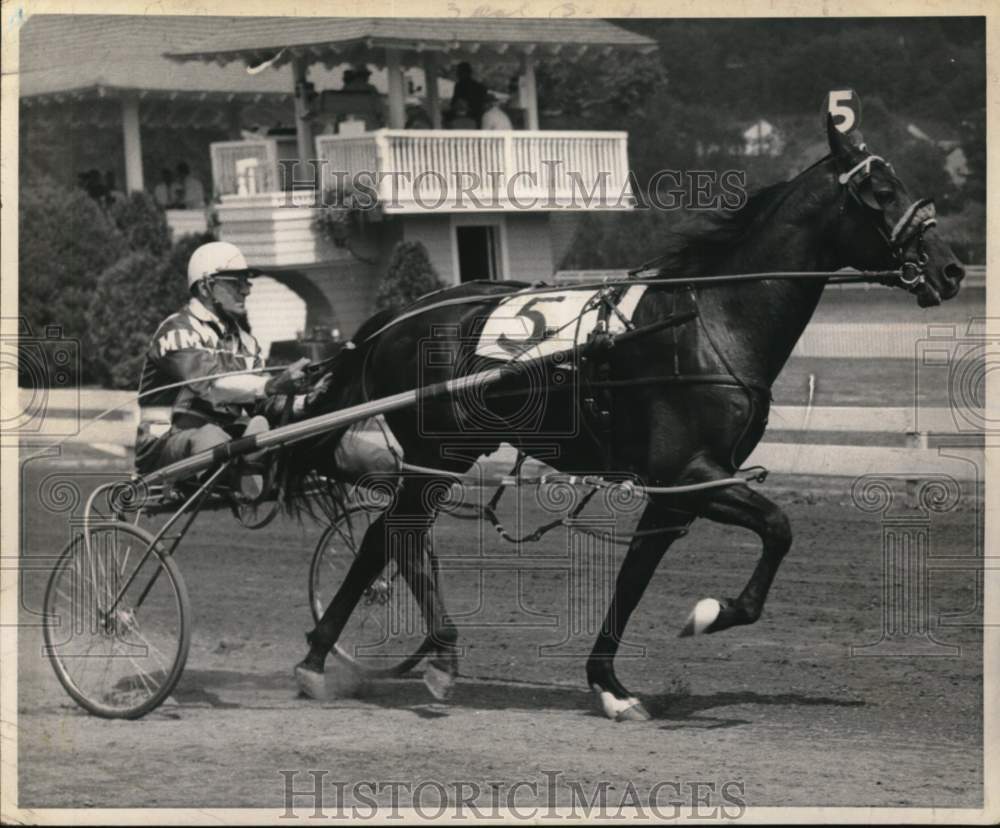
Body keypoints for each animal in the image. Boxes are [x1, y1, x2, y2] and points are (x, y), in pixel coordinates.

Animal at [286, 119, 964, 720]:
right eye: (881, 191)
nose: (951, 268)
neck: (707, 324)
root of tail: (393, 320)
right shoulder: (691, 473)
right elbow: (777, 528)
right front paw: (710, 614)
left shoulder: (679, 488)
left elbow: (635, 578)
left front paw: (610, 684)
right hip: (440, 453)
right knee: (397, 537)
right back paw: (424, 656)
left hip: (445, 456)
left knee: (382, 539)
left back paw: (331, 659)